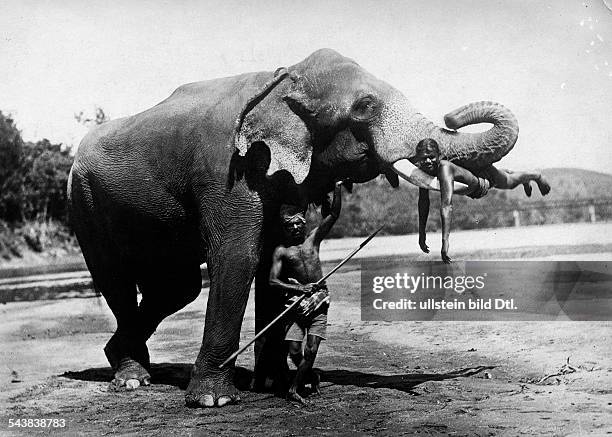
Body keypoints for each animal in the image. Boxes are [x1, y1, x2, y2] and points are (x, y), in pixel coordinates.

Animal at [69, 49, 520, 408]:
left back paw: (127, 363)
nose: (448, 120)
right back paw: (132, 379)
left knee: (177, 288)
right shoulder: (228, 172)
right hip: (85, 204)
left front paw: (272, 385)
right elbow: (239, 258)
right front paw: (215, 401)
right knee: (118, 280)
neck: (281, 78)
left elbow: (269, 258)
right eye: (364, 106)